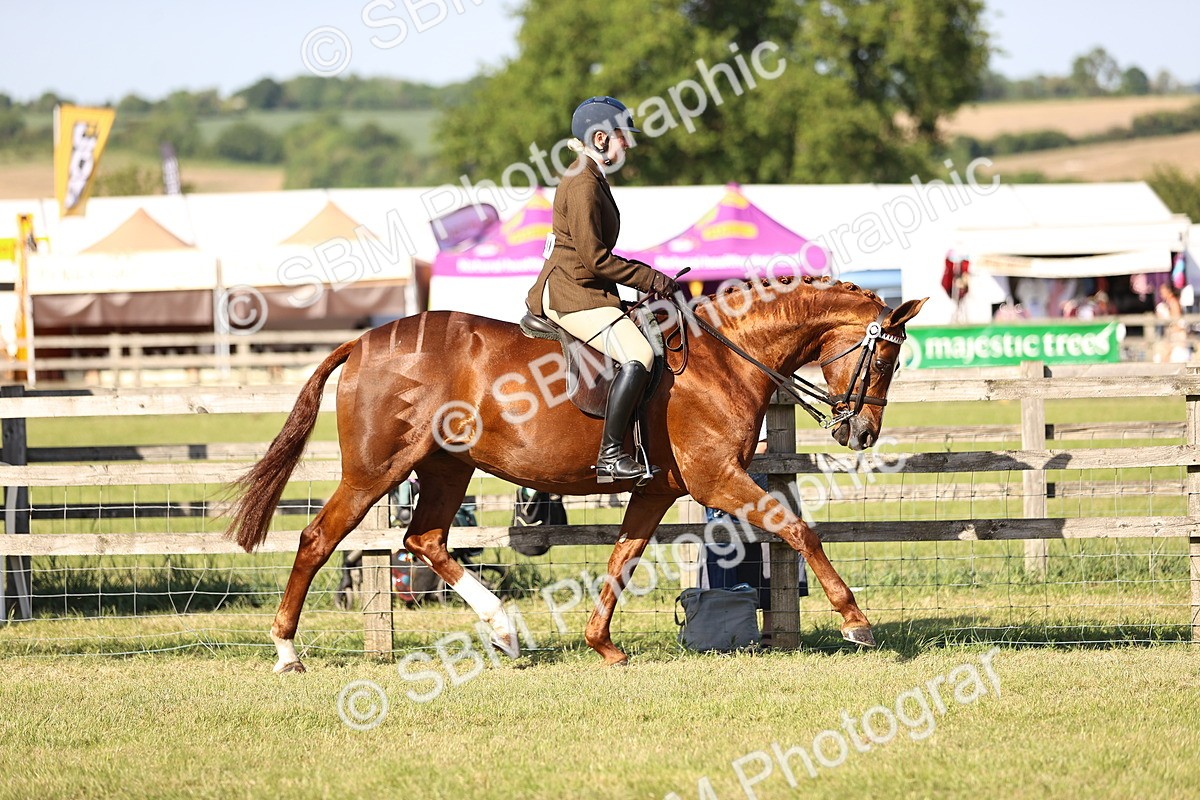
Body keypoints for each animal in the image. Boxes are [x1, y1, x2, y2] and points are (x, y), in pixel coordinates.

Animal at [225, 276, 926, 672]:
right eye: (885, 361)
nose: (861, 433)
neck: (725, 358)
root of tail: (363, 342)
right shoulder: (715, 478)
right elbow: (797, 529)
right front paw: (856, 622)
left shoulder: (658, 488)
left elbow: (623, 558)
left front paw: (602, 646)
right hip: (376, 469)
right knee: (318, 540)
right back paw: (286, 652)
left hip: (448, 468)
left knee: (425, 540)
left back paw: (506, 633)